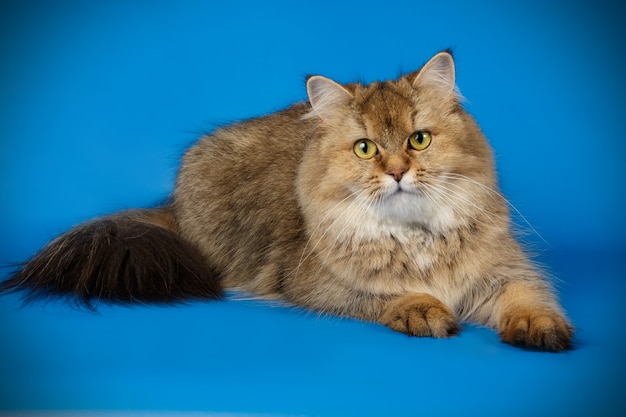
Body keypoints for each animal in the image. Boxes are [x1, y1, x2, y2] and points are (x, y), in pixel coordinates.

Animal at [0, 52, 572, 352]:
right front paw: (421, 307)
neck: (416, 236)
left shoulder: (504, 268)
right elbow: (388, 293)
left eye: (419, 140)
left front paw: (538, 326)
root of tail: (174, 206)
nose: (396, 172)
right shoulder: (320, 283)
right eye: (366, 148)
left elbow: (529, 295)